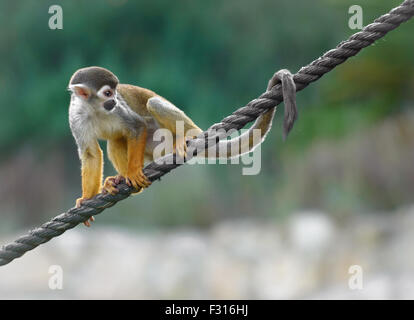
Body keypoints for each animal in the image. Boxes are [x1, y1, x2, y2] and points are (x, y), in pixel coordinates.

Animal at [68, 66, 278, 226]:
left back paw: (188, 135)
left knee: (152, 104)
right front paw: (86, 199)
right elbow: (91, 154)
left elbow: (137, 127)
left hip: (165, 138)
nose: (114, 100)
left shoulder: (120, 110)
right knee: (116, 140)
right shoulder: (76, 117)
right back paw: (120, 178)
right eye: (107, 93)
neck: (96, 109)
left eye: (114, 93)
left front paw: (133, 172)